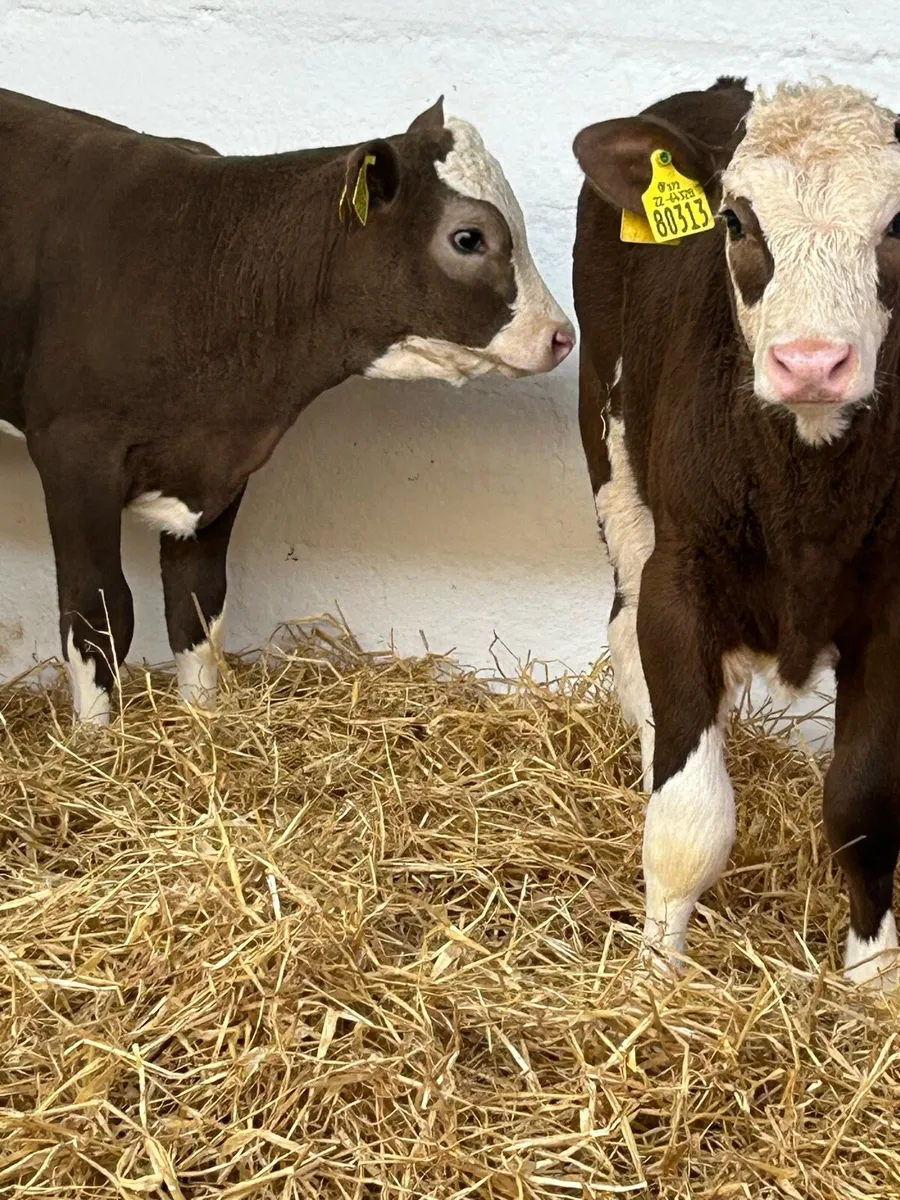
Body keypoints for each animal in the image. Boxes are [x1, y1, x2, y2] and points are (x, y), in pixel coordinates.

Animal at [0, 88, 574, 726]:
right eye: (469, 238)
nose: (561, 335)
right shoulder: (73, 454)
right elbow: (98, 615)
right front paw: (95, 740)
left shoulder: (223, 461)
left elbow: (197, 605)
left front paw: (204, 724)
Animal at [572, 75, 900, 989]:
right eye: (735, 222)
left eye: (899, 225)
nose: (811, 361)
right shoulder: (679, 580)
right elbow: (689, 816)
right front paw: (656, 972)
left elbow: (864, 806)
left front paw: (873, 975)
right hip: (612, 457)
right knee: (630, 648)